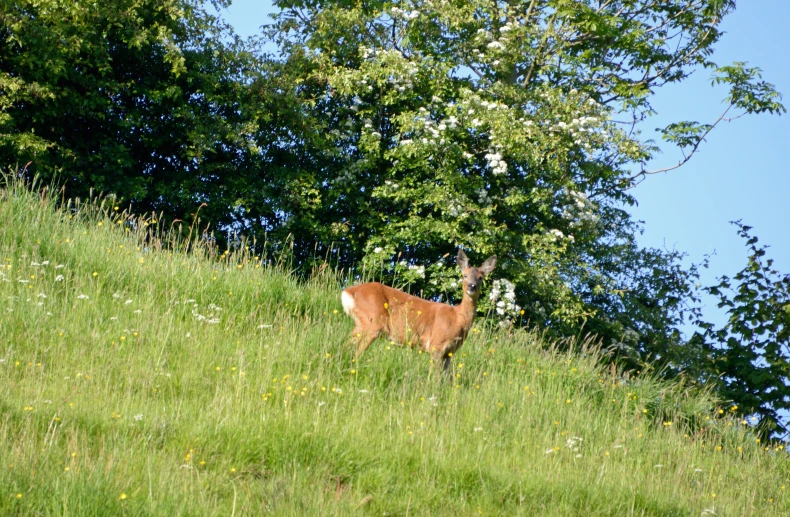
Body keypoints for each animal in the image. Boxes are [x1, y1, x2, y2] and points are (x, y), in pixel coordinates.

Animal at [338, 250, 496, 374]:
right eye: (464, 275)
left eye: (481, 277)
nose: (472, 286)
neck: (457, 318)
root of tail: (347, 292)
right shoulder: (436, 345)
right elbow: (435, 377)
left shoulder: (449, 352)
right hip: (372, 322)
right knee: (356, 352)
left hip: (361, 324)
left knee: (346, 346)